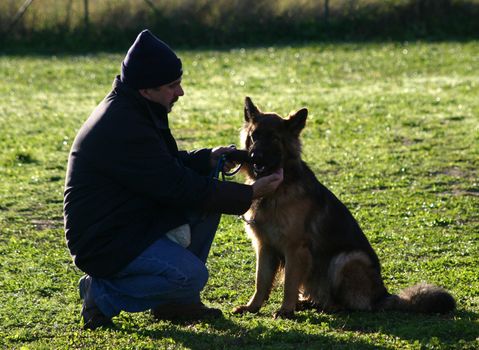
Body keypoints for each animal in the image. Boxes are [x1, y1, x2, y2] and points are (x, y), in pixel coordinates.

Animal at [234, 97, 456, 318]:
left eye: (274, 138)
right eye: (254, 136)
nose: (255, 157)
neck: (278, 190)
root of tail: (382, 295)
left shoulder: (295, 249)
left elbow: (289, 283)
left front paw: (286, 310)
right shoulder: (264, 247)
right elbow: (261, 281)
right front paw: (252, 307)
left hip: (347, 258)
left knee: (348, 303)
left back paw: (327, 306)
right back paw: (307, 302)